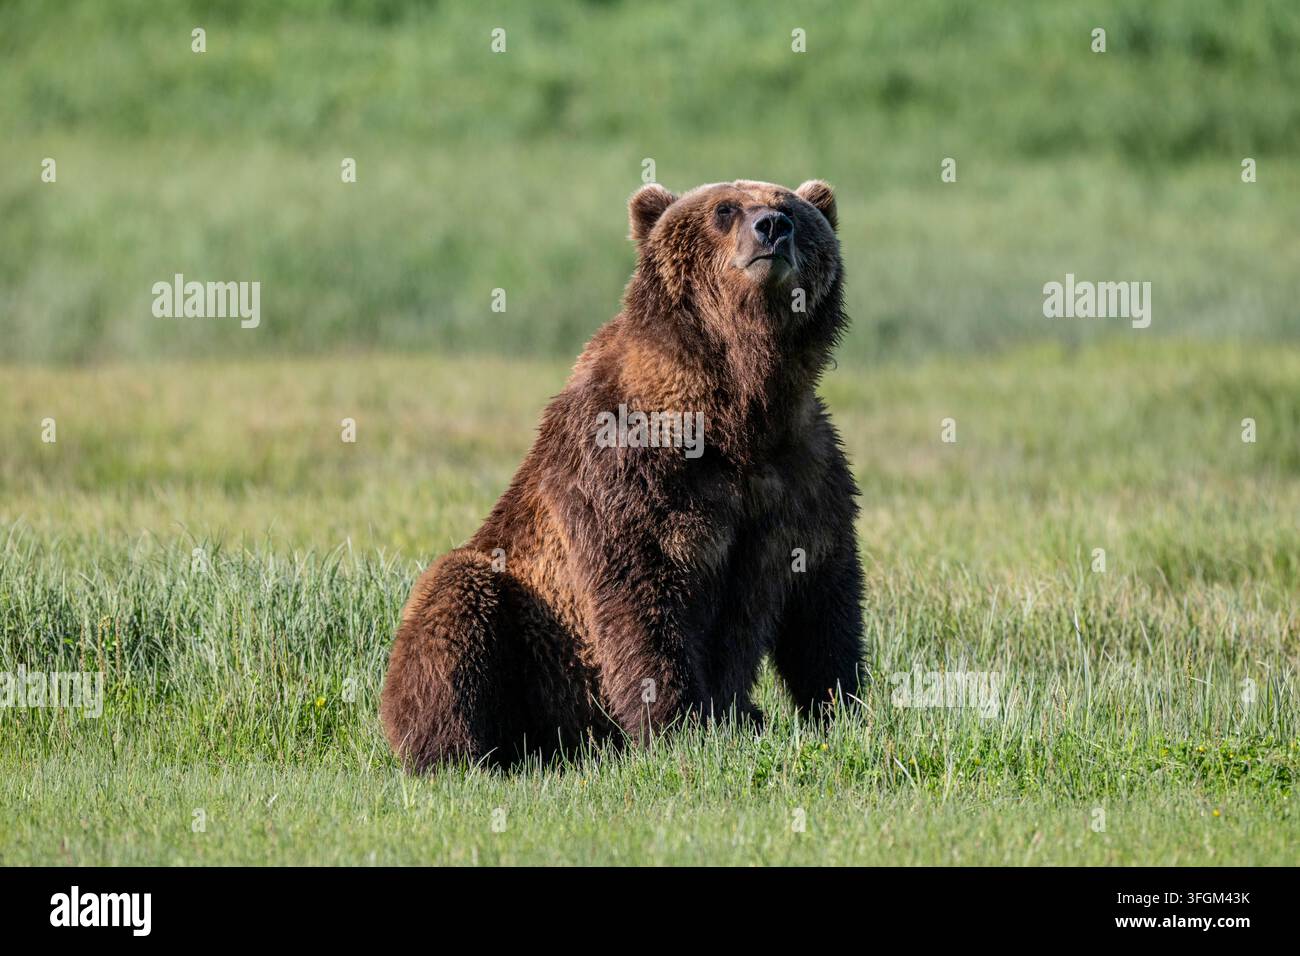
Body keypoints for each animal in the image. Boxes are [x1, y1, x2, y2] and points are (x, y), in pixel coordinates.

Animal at [381, 179, 864, 770]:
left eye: (790, 207)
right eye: (724, 209)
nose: (771, 226)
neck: (738, 405)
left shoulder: (803, 471)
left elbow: (823, 598)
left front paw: (843, 709)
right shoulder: (630, 465)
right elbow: (640, 593)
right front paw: (680, 727)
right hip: (521, 625)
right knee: (453, 605)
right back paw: (460, 752)